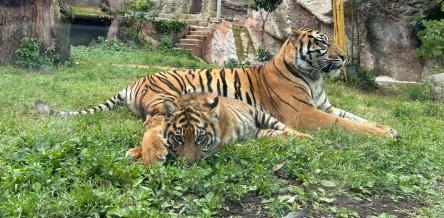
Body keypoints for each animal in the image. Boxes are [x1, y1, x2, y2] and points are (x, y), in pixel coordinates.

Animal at [36, 28, 398, 166]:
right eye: (323, 42)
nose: (345, 57)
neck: (315, 77)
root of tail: (135, 79)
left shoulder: (325, 106)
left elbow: (357, 118)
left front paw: (388, 129)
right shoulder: (305, 114)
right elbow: (347, 126)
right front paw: (386, 136)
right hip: (168, 97)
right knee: (154, 126)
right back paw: (150, 152)